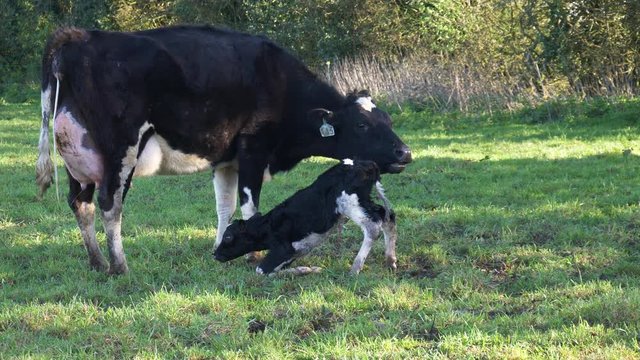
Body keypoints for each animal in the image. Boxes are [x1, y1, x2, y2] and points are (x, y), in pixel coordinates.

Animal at [214, 159, 396, 274]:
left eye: (228, 237)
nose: (214, 254)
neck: (268, 226)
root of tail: (366, 164)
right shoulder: (295, 252)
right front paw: (309, 269)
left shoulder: (284, 248)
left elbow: (261, 270)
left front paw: (305, 270)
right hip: (363, 201)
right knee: (388, 216)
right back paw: (391, 261)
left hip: (349, 202)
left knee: (373, 226)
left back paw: (355, 268)